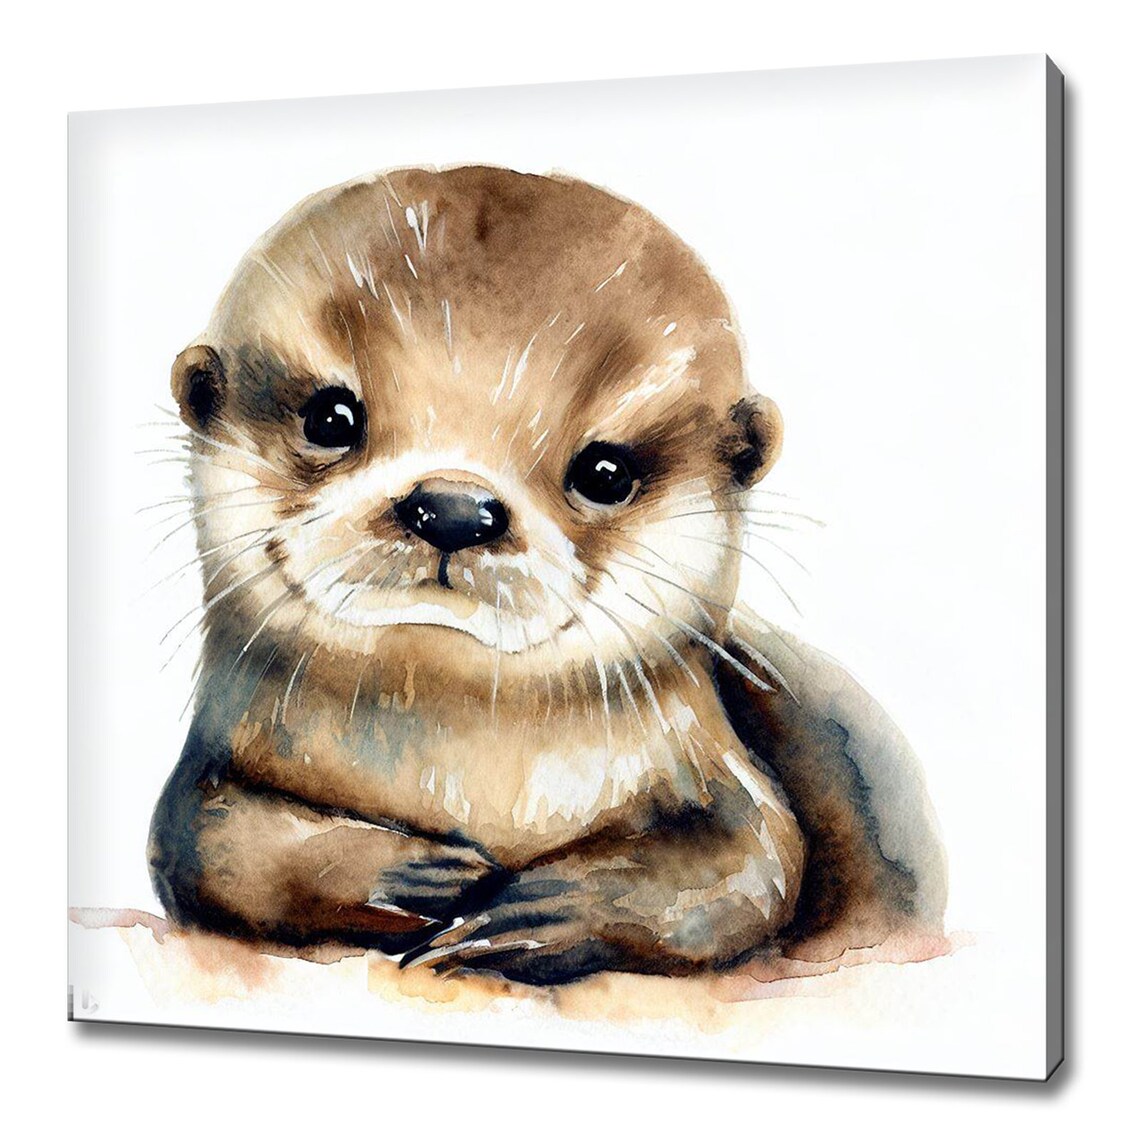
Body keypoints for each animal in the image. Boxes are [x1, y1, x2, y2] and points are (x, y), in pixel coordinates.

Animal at [149, 166, 946, 985]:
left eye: (605, 471)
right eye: (331, 417)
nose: (454, 508)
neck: (462, 774)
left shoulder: (718, 770)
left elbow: (756, 865)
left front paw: (536, 913)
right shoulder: (208, 769)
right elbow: (208, 844)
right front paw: (416, 877)